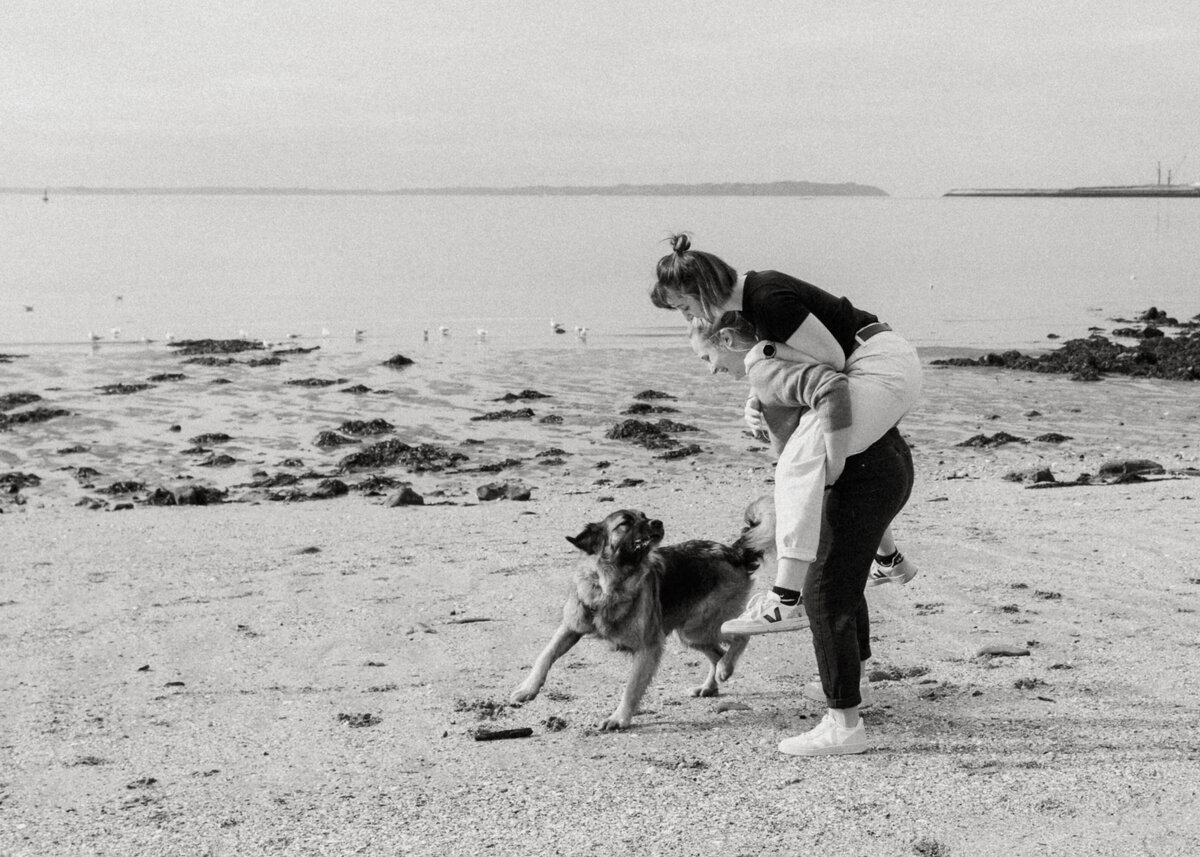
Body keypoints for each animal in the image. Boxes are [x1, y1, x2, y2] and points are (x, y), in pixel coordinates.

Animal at [511, 506, 763, 729]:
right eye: (625, 522)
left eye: (644, 516)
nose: (658, 522)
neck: (610, 583)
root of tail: (732, 552)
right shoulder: (570, 627)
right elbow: (545, 655)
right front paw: (528, 689)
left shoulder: (648, 647)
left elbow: (632, 688)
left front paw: (619, 719)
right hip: (691, 634)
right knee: (717, 653)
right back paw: (711, 685)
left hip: (697, 627)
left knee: (741, 638)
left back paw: (725, 668)